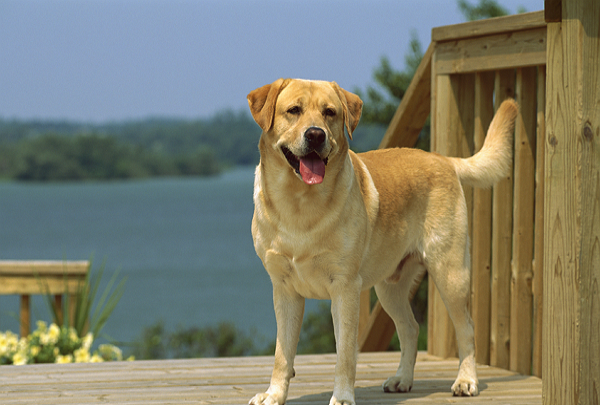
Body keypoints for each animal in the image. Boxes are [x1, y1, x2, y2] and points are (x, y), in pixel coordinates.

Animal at [246, 79, 516, 404]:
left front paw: (343, 397)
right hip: (389, 288)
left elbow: (345, 353)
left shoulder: (345, 288)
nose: (315, 134)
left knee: (466, 329)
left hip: (450, 275)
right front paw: (273, 395)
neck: (299, 203)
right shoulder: (284, 289)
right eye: (293, 110)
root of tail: (442, 158)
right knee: (410, 328)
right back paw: (402, 379)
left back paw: (466, 381)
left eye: (330, 112)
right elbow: (282, 355)